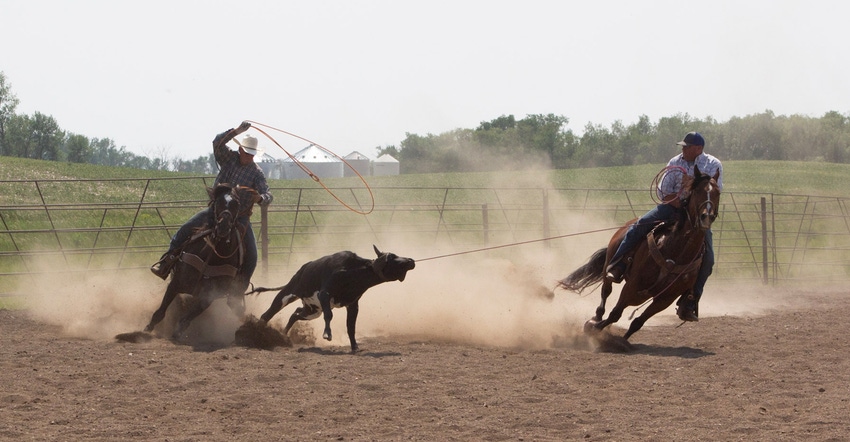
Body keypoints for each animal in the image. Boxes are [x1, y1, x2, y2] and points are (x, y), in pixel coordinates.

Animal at [144, 185, 256, 340]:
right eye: (218, 202)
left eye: (237, 205)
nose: (223, 226)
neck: (211, 256)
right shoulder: (176, 283)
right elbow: (160, 312)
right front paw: (147, 329)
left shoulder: (208, 296)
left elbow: (186, 319)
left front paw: (177, 333)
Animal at [560, 166, 720, 342]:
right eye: (697, 191)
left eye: (718, 192)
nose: (706, 216)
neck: (675, 253)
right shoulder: (633, 285)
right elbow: (615, 313)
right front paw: (594, 328)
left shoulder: (666, 298)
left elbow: (638, 322)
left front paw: (623, 342)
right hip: (611, 266)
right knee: (606, 290)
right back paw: (596, 317)